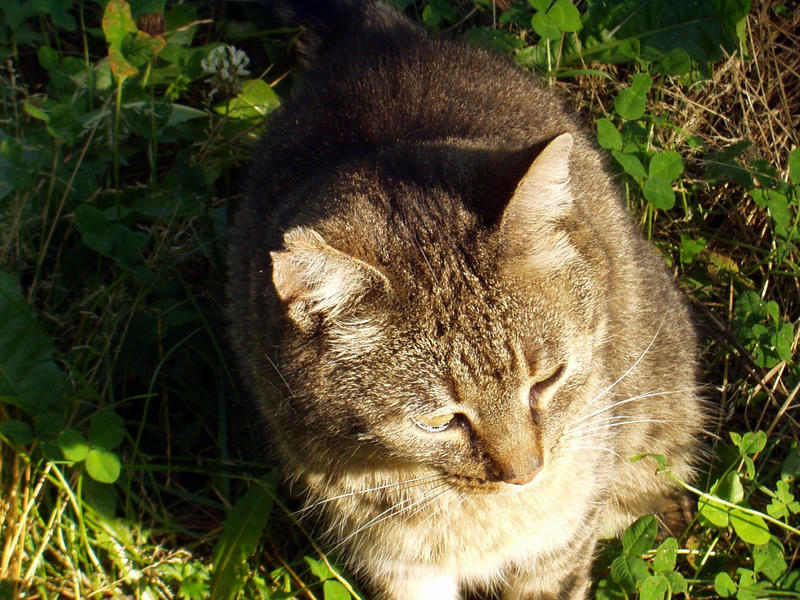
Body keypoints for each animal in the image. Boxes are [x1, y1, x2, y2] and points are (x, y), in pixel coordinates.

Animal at [223, 2, 700, 596]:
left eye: (548, 380)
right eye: (437, 422)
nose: (526, 473)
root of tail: (379, 35)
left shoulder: (561, 545)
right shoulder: (399, 565)